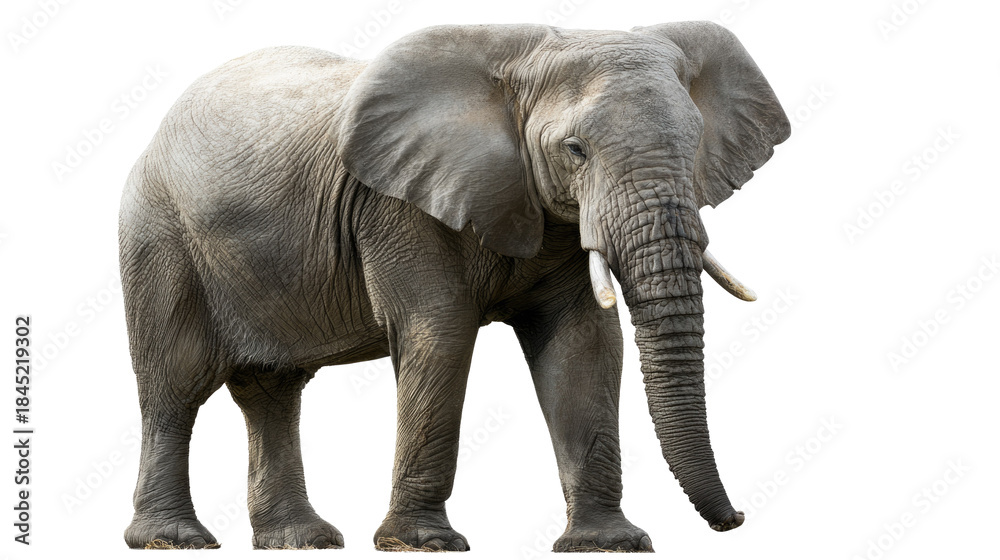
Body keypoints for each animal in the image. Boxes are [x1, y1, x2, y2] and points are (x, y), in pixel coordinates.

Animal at [118, 21, 789, 552]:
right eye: (575, 149)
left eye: (695, 145)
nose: (736, 519)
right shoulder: (397, 204)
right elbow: (438, 333)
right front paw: (421, 544)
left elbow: (585, 345)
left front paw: (609, 544)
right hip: (158, 237)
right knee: (175, 385)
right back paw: (171, 539)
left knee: (273, 391)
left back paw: (301, 540)